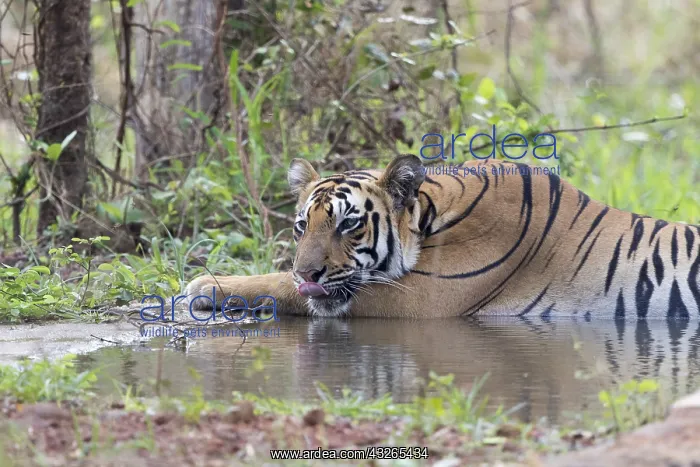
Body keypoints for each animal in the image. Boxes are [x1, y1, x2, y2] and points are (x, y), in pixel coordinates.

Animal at [184, 154, 700, 319]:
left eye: (348, 223)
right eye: (300, 227)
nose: (307, 272)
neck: (431, 215)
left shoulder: (420, 301)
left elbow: (277, 284)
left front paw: (205, 284)